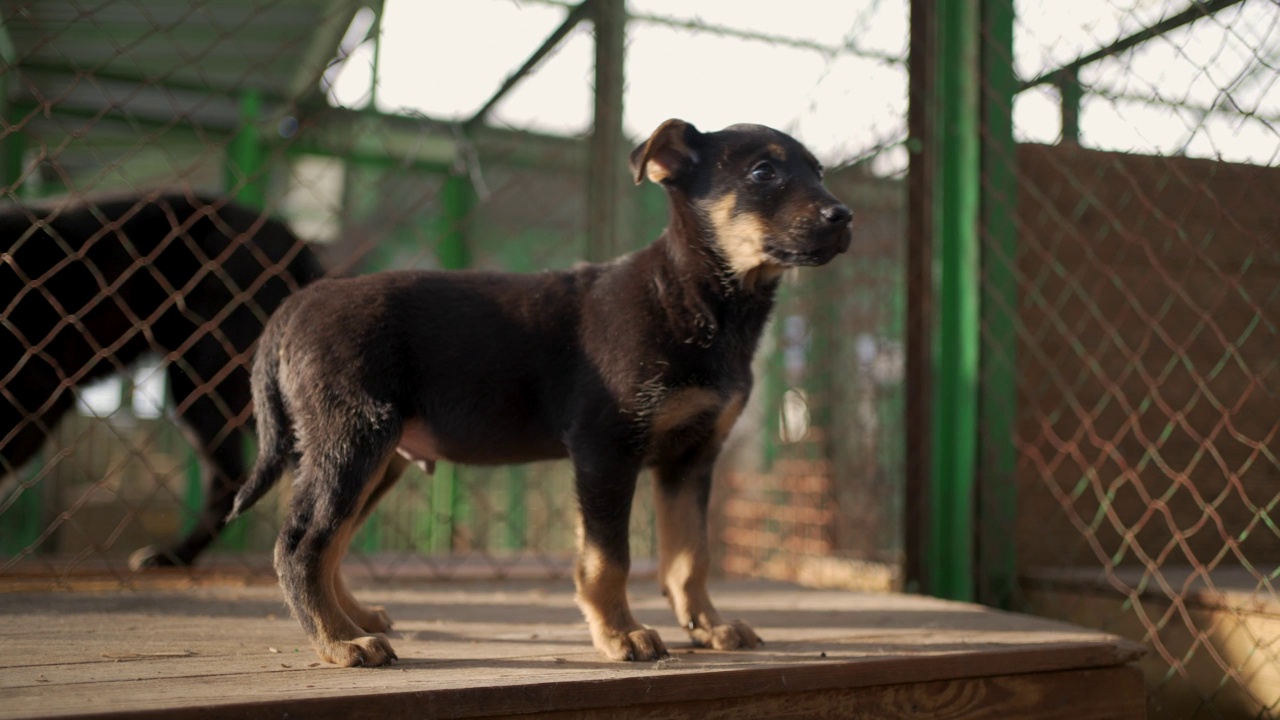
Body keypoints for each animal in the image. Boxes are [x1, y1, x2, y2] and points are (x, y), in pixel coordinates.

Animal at [227, 117, 849, 661]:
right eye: (764, 172)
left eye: (819, 172)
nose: (843, 215)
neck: (701, 300)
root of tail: (295, 306)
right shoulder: (606, 448)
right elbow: (608, 558)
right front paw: (620, 635)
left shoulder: (691, 460)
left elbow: (689, 555)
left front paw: (709, 627)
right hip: (352, 439)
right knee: (303, 544)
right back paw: (340, 643)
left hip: (377, 456)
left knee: (332, 541)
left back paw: (354, 621)